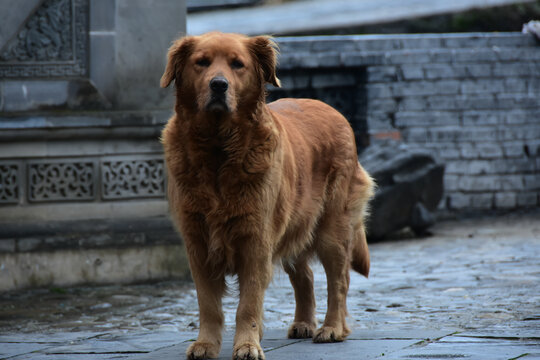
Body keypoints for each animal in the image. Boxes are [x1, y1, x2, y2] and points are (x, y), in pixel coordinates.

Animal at [160, 32, 372, 358]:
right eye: (202, 63)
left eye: (237, 64)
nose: (218, 85)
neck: (219, 151)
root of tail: (335, 112)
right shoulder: (197, 242)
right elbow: (208, 305)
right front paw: (205, 344)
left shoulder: (256, 241)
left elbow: (248, 305)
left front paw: (247, 345)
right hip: (295, 225)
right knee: (305, 277)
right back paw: (303, 324)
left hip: (333, 228)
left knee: (339, 280)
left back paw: (332, 329)